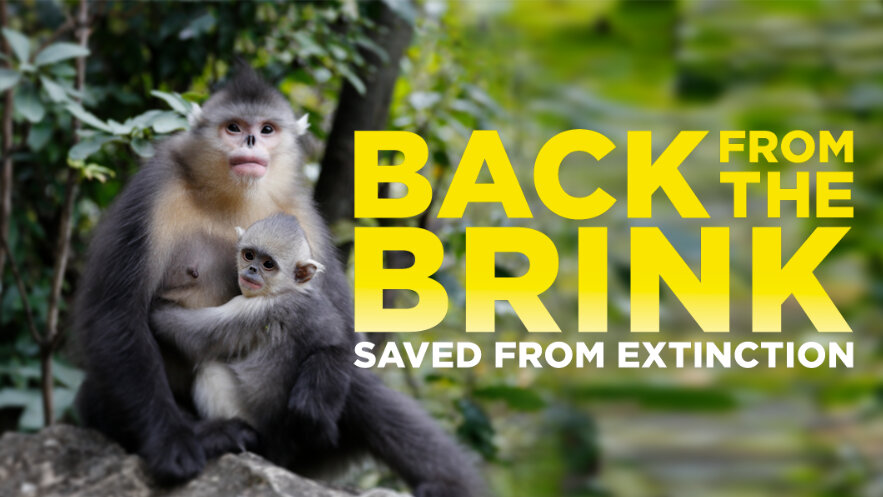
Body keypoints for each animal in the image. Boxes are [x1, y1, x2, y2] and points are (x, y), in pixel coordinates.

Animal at [149, 214, 484, 497]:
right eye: (249, 255)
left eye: (268, 264)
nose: (251, 271)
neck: (287, 292)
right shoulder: (315, 309)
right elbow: (339, 339)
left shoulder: (253, 310)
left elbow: (194, 336)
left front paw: (156, 309)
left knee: (210, 369)